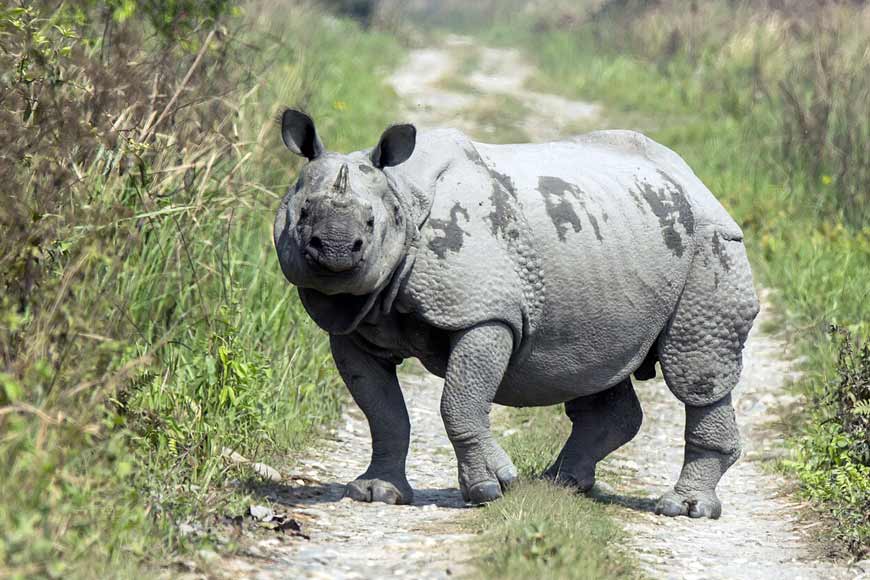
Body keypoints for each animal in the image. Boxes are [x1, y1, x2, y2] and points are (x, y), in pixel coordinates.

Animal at [273, 109, 759, 518]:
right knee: (599, 366)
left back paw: (684, 508)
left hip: (712, 242)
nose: (335, 249)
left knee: (695, 368)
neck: (402, 196)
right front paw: (376, 492)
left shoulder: (485, 313)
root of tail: (694, 179)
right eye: (302, 213)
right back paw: (559, 484)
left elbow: (459, 404)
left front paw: (491, 489)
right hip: (613, 244)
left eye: (372, 224)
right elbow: (383, 414)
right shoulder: (353, 327)